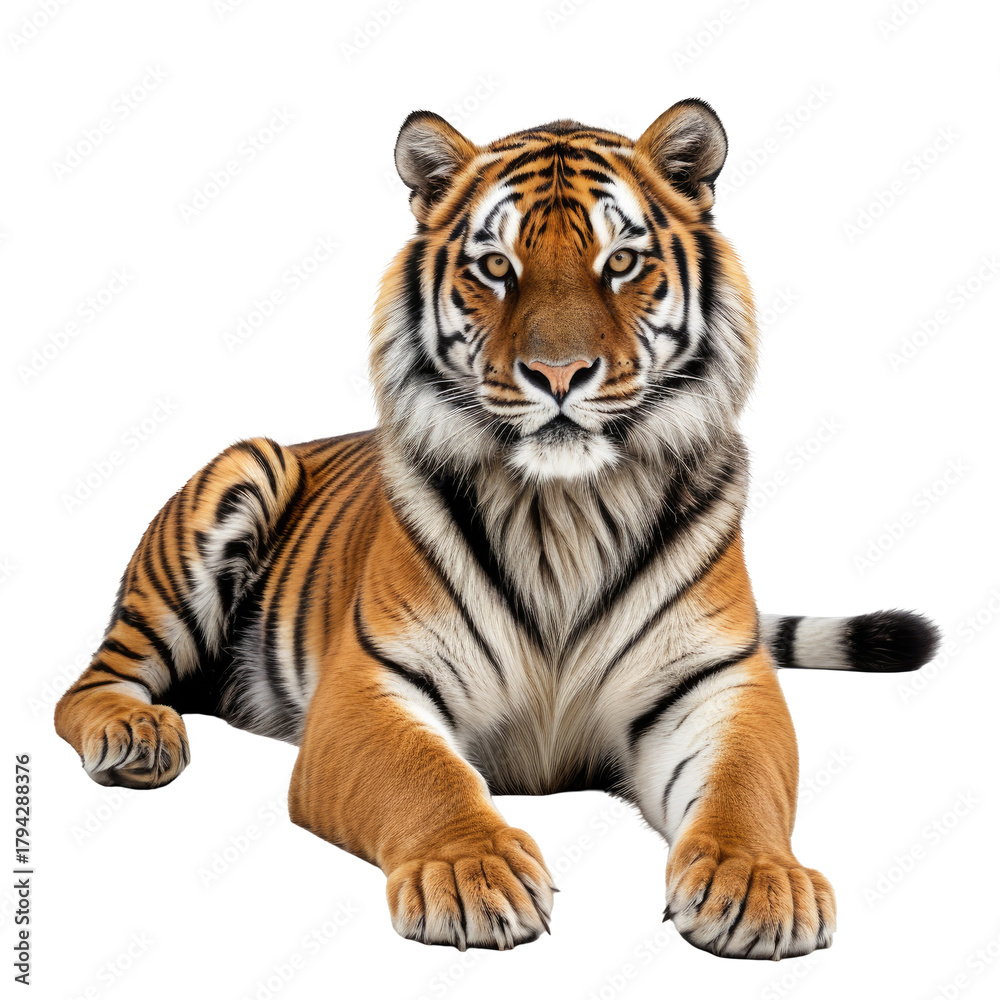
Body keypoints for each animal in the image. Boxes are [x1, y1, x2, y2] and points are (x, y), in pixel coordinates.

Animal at [54, 99, 939, 960]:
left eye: (621, 263)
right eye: (495, 267)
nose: (557, 374)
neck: (568, 508)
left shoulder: (718, 680)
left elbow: (742, 786)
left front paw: (756, 882)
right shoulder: (369, 684)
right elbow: (427, 776)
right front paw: (470, 873)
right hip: (245, 470)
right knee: (89, 685)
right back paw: (137, 733)